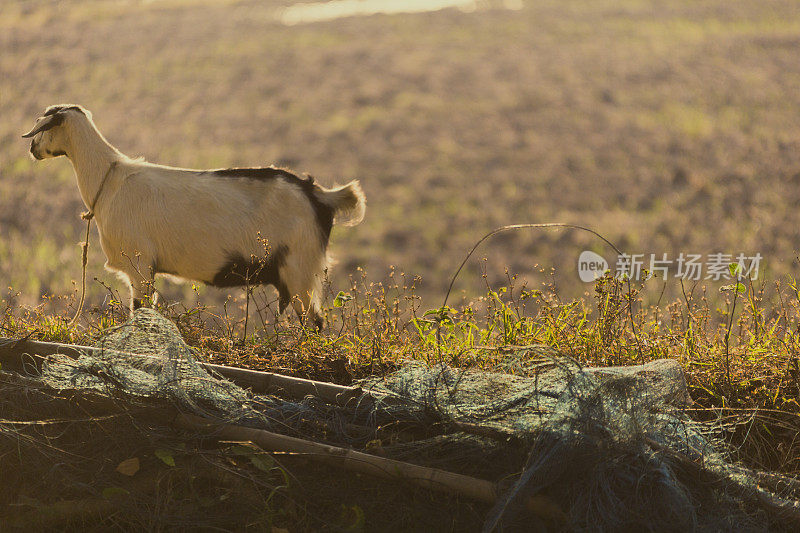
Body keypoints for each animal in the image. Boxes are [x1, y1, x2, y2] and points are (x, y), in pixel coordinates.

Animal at [21, 105, 366, 328]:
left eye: (43, 127)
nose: (32, 150)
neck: (110, 179)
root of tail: (318, 193)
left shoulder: (139, 266)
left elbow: (140, 311)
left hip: (299, 270)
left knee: (315, 323)